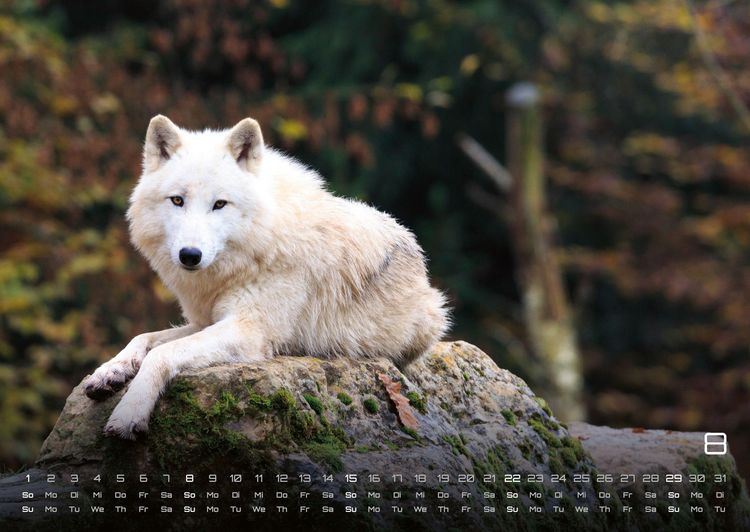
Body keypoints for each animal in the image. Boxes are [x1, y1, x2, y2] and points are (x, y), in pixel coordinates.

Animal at [83, 115, 450, 439]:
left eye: (220, 204)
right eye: (177, 200)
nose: (190, 255)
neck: (260, 244)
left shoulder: (249, 330)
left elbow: (161, 354)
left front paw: (129, 413)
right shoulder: (206, 320)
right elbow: (143, 338)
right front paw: (108, 372)